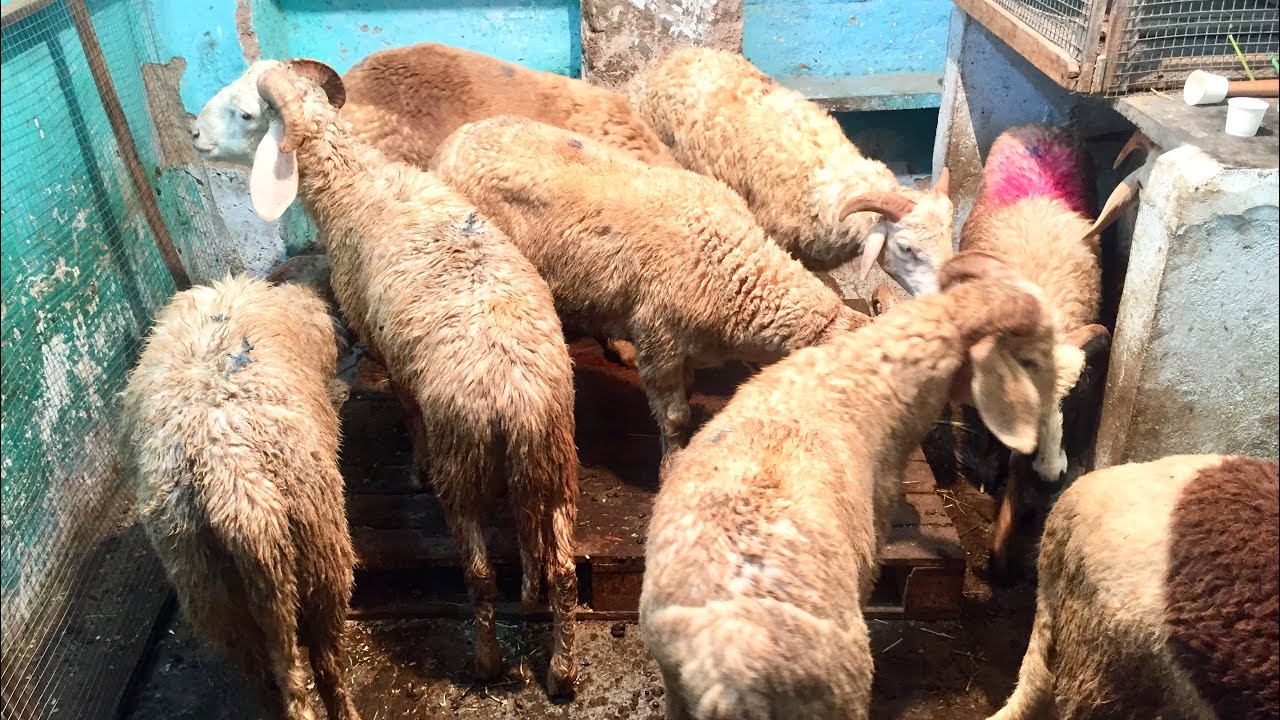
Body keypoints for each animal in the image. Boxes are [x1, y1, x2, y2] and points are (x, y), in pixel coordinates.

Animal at [193, 59, 581, 697]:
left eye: (246, 113)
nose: (194, 135)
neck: (356, 183)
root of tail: (516, 401)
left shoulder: (387, 352)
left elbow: (408, 411)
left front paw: (414, 469)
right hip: (556, 463)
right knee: (565, 573)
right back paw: (561, 673)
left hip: (465, 466)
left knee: (479, 575)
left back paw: (487, 662)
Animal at [640, 250, 1072, 720]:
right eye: (1031, 359)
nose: (1050, 458)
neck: (856, 374)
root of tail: (727, 679)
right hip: (839, 696)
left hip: (674, 685)